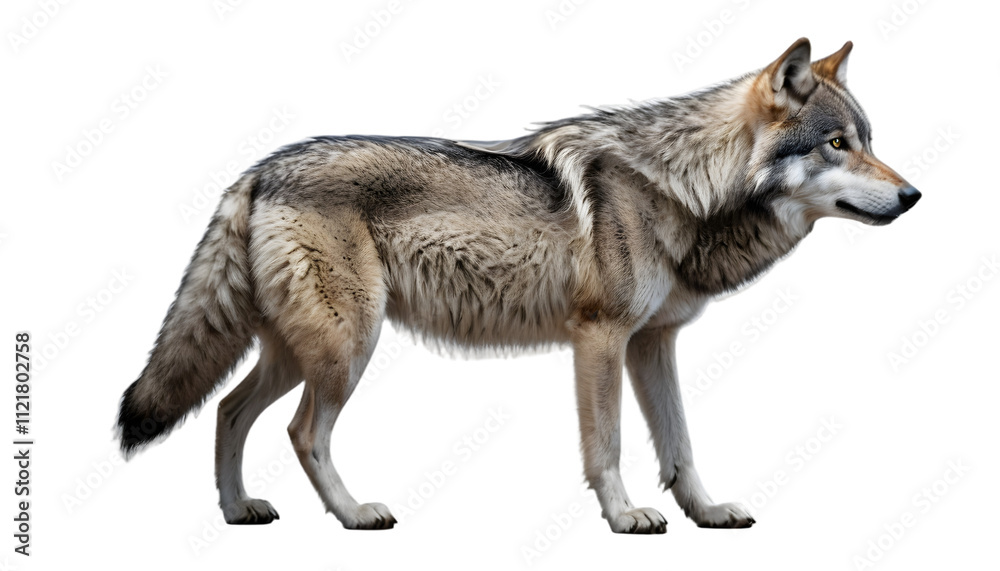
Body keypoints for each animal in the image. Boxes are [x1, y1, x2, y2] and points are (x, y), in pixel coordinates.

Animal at [116, 38, 920, 534]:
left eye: (869, 141)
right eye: (837, 144)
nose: (914, 196)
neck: (682, 188)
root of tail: (258, 171)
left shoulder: (652, 343)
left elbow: (681, 446)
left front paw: (707, 512)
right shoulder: (599, 339)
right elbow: (609, 445)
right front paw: (626, 518)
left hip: (300, 351)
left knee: (226, 411)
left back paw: (237, 509)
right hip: (346, 350)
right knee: (299, 431)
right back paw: (353, 514)